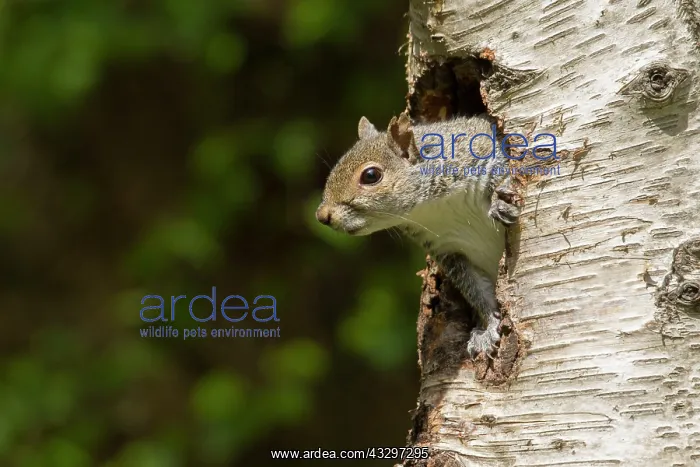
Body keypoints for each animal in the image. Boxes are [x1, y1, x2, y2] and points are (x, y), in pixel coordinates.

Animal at [315, 113, 520, 358]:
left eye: (371, 176)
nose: (322, 215)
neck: (434, 205)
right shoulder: (448, 250)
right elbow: (476, 292)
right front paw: (487, 328)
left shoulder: (483, 155)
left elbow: (507, 173)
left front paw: (502, 203)